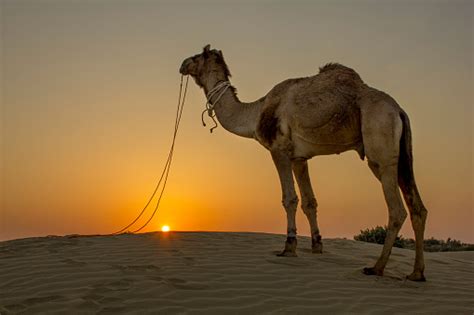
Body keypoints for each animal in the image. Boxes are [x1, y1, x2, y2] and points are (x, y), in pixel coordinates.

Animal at [180, 43, 428, 282]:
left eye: (196, 56)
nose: (182, 64)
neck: (256, 112)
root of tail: (399, 110)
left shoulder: (278, 149)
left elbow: (289, 199)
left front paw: (289, 247)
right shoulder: (299, 158)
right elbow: (310, 202)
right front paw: (317, 245)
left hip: (380, 147)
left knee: (396, 209)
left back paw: (376, 268)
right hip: (403, 156)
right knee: (418, 207)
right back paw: (417, 274)